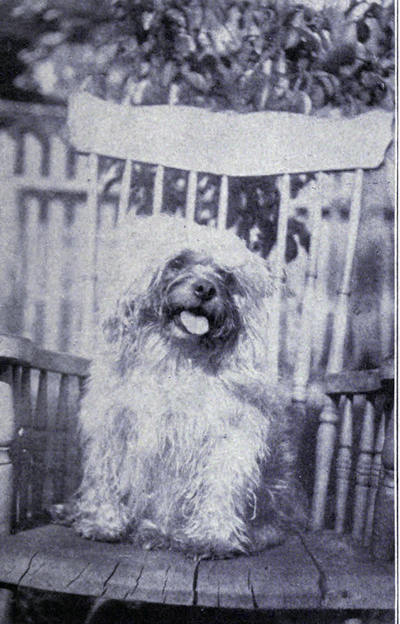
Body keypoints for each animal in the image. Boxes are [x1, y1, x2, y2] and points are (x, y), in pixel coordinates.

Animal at [68, 215, 304, 559]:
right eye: (177, 262)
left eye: (226, 276)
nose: (205, 288)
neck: (178, 359)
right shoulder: (114, 429)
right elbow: (105, 479)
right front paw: (103, 523)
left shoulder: (229, 437)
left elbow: (220, 486)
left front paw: (213, 537)